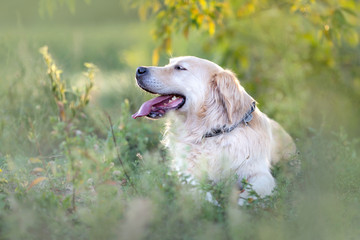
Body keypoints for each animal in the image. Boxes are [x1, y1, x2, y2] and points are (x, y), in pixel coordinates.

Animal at [132, 56, 296, 204]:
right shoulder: (186, 172)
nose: (139, 70)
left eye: (180, 68)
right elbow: (196, 189)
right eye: (169, 64)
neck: (211, 133)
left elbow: (252, 193)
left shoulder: (259, 173)